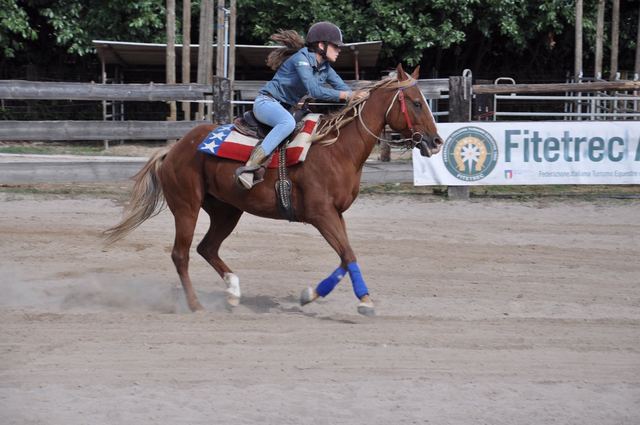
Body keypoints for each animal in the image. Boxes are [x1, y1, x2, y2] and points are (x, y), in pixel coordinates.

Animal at [104, 64, 443, 316]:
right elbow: (348, 253)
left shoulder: (336, 215)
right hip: (187, 206)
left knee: (207, 248)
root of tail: (173, 150)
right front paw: (365, 301)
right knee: (181, 254)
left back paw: (233, 292)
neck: (335, 149)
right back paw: (196, 305)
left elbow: (345, 258)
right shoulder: (321, 215)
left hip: (227, 210)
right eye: (415, 102)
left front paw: (310, 295)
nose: (436, 141)